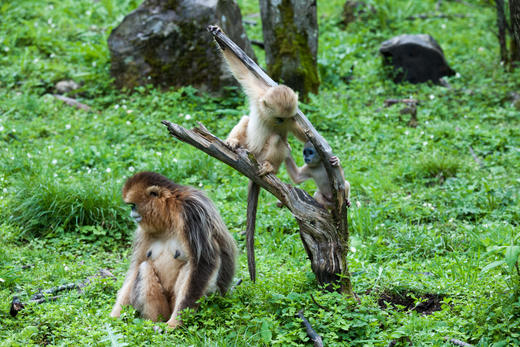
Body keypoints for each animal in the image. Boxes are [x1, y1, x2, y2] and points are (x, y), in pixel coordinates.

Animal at [112, 173, 239, 330]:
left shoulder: (191, 212)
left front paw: (175, 323)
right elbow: (136, 267)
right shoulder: (143, 231)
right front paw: (115, 316)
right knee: (144, 267)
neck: (169, 215)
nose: (131, 214)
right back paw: (152, 324)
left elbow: (204, 262)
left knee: (190, 267)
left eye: (133, 205)